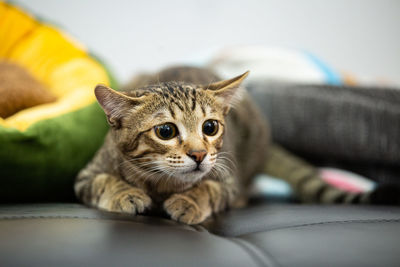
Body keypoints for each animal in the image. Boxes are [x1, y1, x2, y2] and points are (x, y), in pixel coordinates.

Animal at [76, 66, 400, 225]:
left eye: (210, 127)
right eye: (166, 131)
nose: (199, 154)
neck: (162, 185)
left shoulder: (227, 180)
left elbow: (209, 188)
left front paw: (189, 201)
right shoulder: (85, 177)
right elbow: (104, 181)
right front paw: (126, 193)